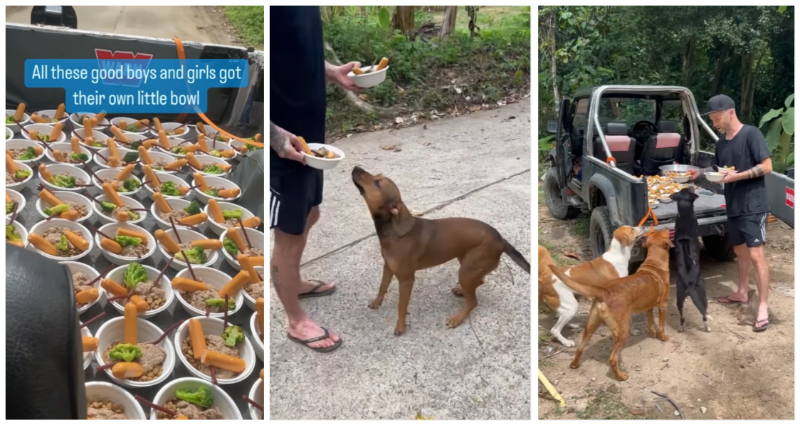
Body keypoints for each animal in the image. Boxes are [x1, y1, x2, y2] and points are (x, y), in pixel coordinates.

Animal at [352, 166, 528, 334]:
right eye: (377, 177)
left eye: (377, 182)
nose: (355, 167)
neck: (393, 228)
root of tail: (501, 241)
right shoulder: (388, 266)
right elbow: (382, 287)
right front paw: (377, 302)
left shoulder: (406, 280)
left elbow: (401, 306)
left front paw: (400, 326)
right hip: (466, 264)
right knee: (480, 281)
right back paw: (461, 291)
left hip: (466, 271)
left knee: (473, 302)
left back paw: (457, 318)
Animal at [548, 229, 672, 380]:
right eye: (664, 232)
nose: (666, 228)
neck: (655, 263)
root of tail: (603, 291)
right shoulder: (663, 305)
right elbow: (661, 325)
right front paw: (663, 337)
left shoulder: (649, 307)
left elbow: (651, 323)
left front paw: (653, 333)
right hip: (621, 332)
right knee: (612, 358)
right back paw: (621, 376)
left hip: (590, 325)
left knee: (580, 348)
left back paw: (574, 364)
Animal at [668, 188, 712, 332]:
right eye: (689, 189)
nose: (692, 186)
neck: (684, 215)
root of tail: (690, 284)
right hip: (702, 294)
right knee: (704, 313)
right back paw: (707, 326)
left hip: (679, 297)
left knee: (682, 316)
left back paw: (682, 328)